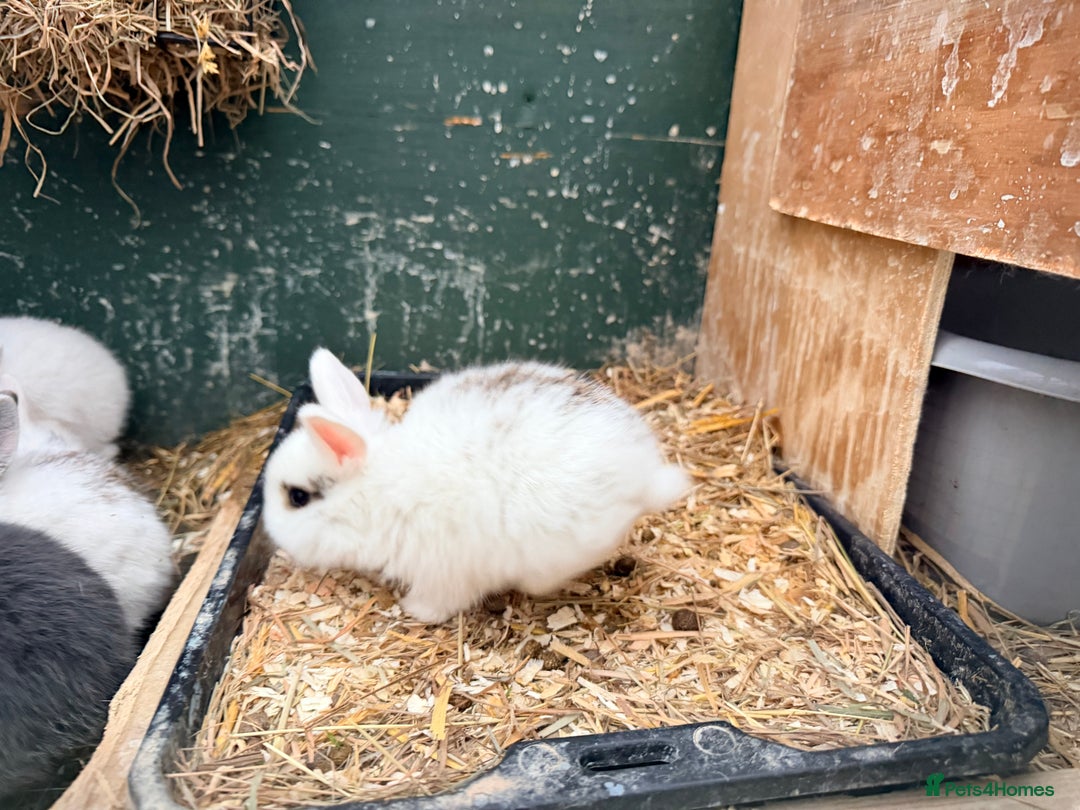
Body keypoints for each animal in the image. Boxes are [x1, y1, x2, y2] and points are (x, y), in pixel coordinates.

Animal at [262, 348, 691, 623]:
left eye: (297, 497)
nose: (270, 532)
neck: (379, 494)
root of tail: (645, 472)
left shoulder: (442, 572)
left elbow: (438, 603)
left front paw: (414, 611)